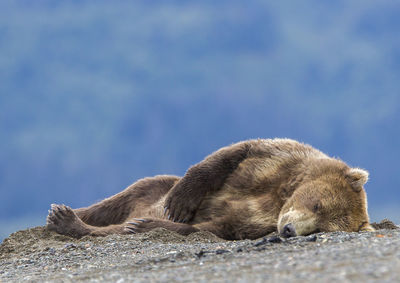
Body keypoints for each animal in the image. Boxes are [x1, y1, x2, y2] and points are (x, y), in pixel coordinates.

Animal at [47, 139, 376, 241]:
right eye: (318, 204)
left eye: (321, 228)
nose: (289, 230)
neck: (280, 196)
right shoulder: (276, 160)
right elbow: (229, 156)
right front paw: (179, 204)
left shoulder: (255, 222)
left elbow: (217, 226)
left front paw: (147, 224)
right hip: (153, 187)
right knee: (122, 196)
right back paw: (62, 212)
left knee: (116, 226)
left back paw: (70, 221)